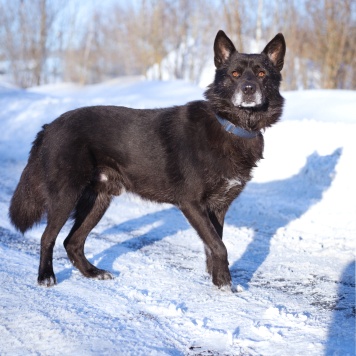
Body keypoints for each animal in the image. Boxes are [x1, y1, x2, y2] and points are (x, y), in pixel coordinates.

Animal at [9, 31, 286, 290]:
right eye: (235, 74)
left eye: (262, 74)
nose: (249, 90)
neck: (231, 125)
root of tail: (49, 126)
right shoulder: (191, 204)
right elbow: (219, 246)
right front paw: (226, 284)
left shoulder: (218, 207)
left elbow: (213, 244)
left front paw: (218, 281)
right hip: (66, 195)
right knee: (48, 237)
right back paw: (46, 277)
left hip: (99, 199)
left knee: (72, 242)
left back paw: (93, 272)